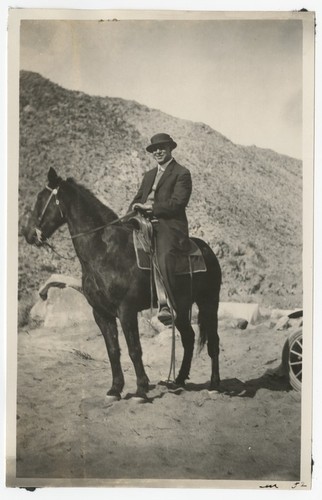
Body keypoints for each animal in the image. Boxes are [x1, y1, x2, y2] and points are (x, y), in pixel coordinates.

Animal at [25, 168, 221, 402]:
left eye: (40, 199)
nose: (28, 234)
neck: (104, 251)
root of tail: (207, 250)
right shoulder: (101, 313)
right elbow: (113, 350)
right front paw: (115, 389)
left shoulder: (126, 310)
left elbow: (134, 349)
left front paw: (141, 390)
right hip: (181, 307)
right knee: (189, 339)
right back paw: (179, 380)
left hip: (209, 304)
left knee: (213, 342)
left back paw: (214, 385)